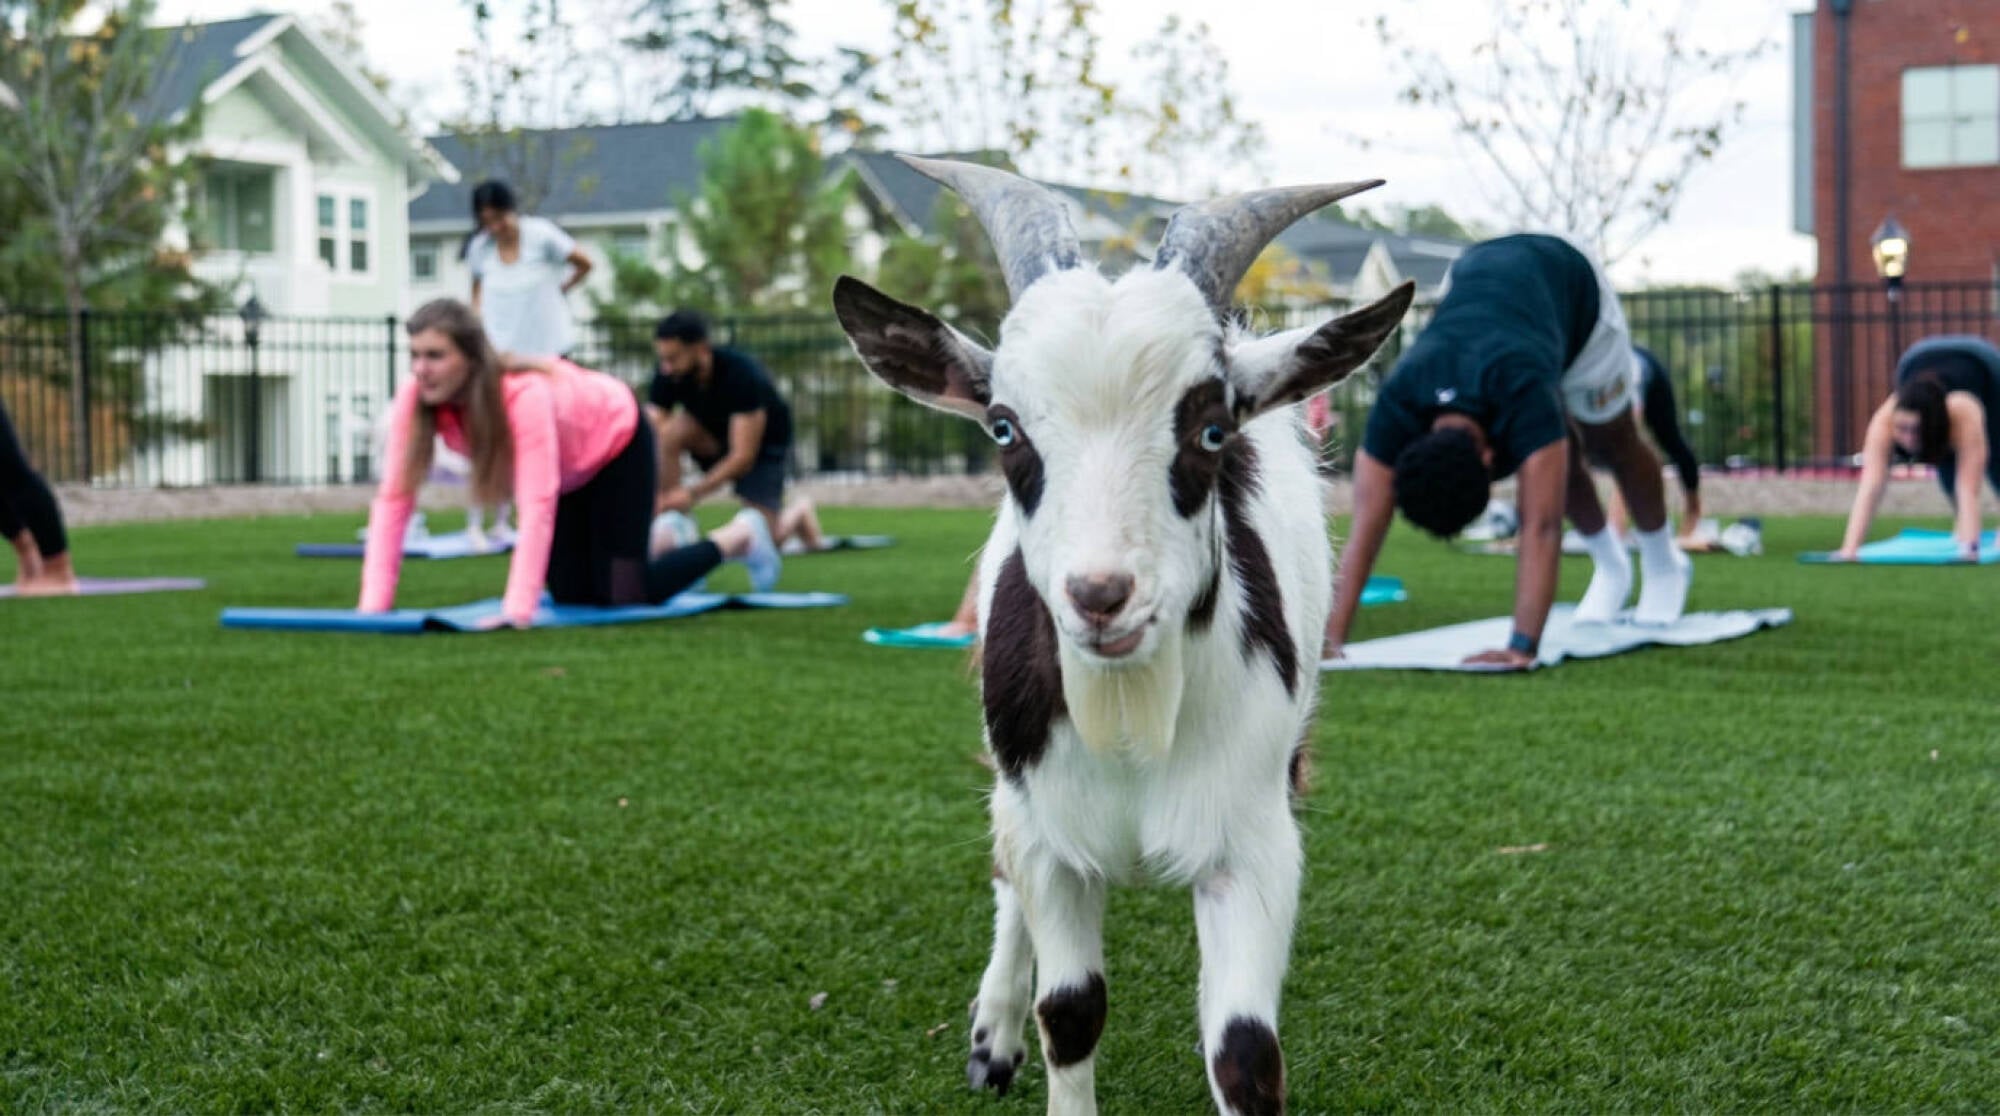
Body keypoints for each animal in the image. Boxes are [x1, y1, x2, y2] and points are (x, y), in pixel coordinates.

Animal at [833, 157, 1413, 1116]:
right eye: (1003, 428)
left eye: (1211, 428)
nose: (1100, 596)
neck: (1132, 719)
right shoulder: (1049, 829)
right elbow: (1069, 1009)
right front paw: (1011, 1034)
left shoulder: (1254, 841)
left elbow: (1245, 1053)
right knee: (1003, 874)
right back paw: (991, 1038)